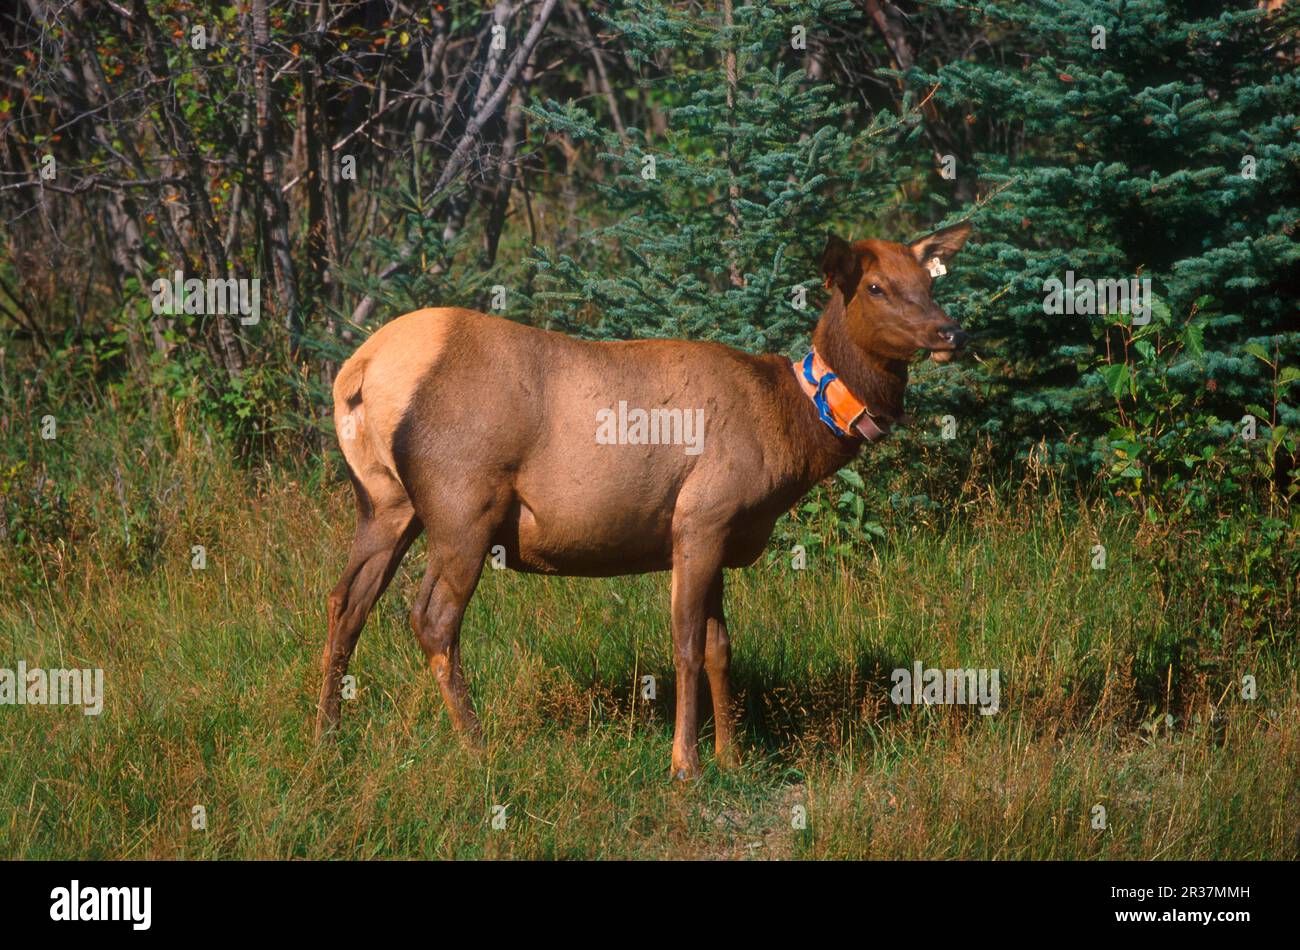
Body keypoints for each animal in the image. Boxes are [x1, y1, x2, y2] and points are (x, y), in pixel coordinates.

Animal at [315, 222, 972, 779]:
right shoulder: (701, 515)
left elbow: (720, 648)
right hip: (461, 503)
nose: (949, 331)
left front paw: (733, 757)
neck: (792, 430)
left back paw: (328, 735)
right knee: (431, 617)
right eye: (876, 287)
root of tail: (359, 373)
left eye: (929, 281)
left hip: (385, 502)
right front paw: (686, 766)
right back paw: (477, 748)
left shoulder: (720, 530)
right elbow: (685, 646)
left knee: (347, 600)